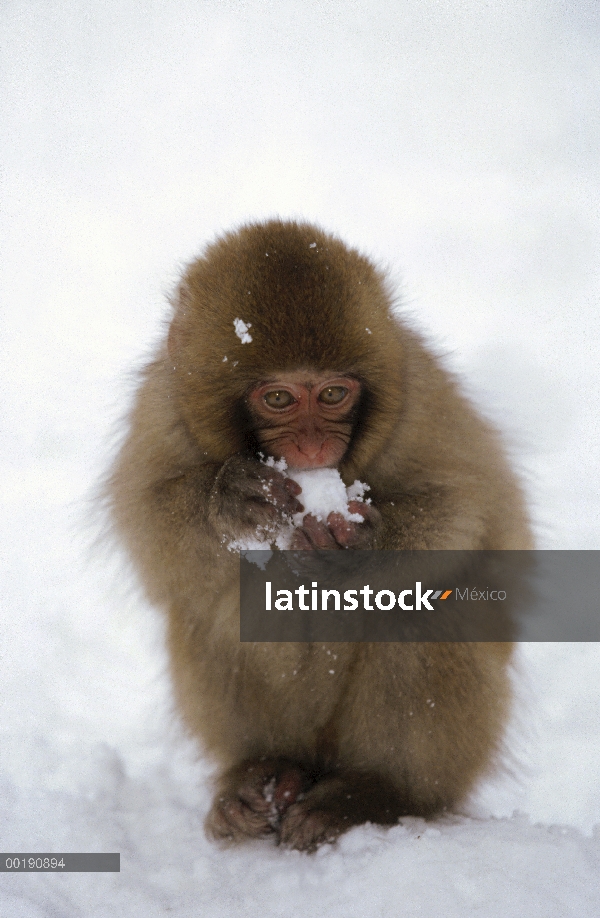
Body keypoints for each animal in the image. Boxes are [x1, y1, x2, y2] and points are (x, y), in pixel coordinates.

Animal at [108, 219, 528, 852]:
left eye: (332, 394)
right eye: (279, 398)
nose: (311, 445)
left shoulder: (420, 403)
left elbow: (468, 508)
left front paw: (361, 552)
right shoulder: (163, 411)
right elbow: (148, 528)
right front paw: (229, 499)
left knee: (421, 606)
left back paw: (371, 793)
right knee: (218, 604)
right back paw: (259, 776)